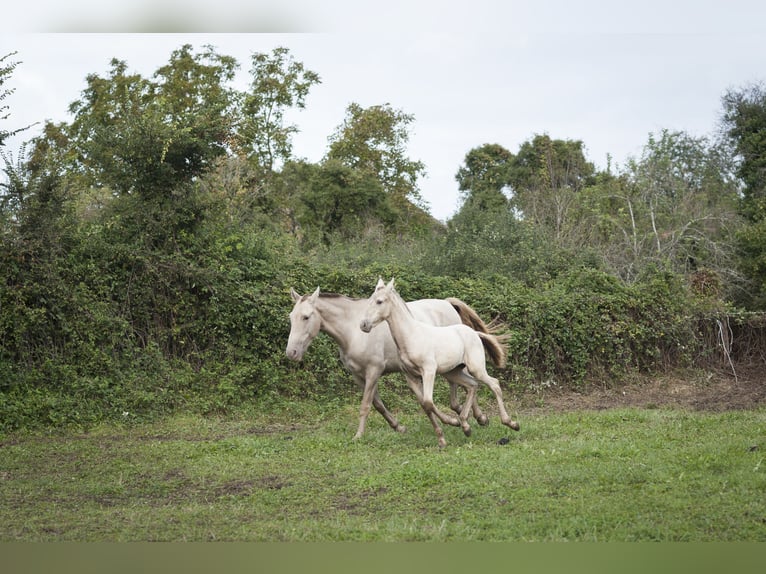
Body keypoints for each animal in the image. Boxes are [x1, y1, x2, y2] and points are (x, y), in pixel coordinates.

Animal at [284, 286, 500, 438]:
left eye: (306, 317)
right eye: (291, 317)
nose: (291, 353)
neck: (352, 330)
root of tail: (447, 303)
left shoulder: (374, 370)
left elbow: (366, 405)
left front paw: (358, 435)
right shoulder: (359, 376)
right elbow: (378, 404)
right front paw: (399, 427)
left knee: (466, 386)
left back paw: (477, 418)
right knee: (465, 389)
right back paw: (470, 417)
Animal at [362, 280, 520, 450]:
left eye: (379, 301)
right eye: (370, 299)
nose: (364, 325)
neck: (411, 336)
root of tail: (475, 333)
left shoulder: (429, 371)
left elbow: (428, 402)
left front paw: (451, 424)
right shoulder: (411, 377)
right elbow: (425, 406)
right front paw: (443, 437)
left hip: (476, 368)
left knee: (494, 384)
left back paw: (511, 423)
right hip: (453, 372)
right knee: (472, 385)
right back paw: (466, 426)